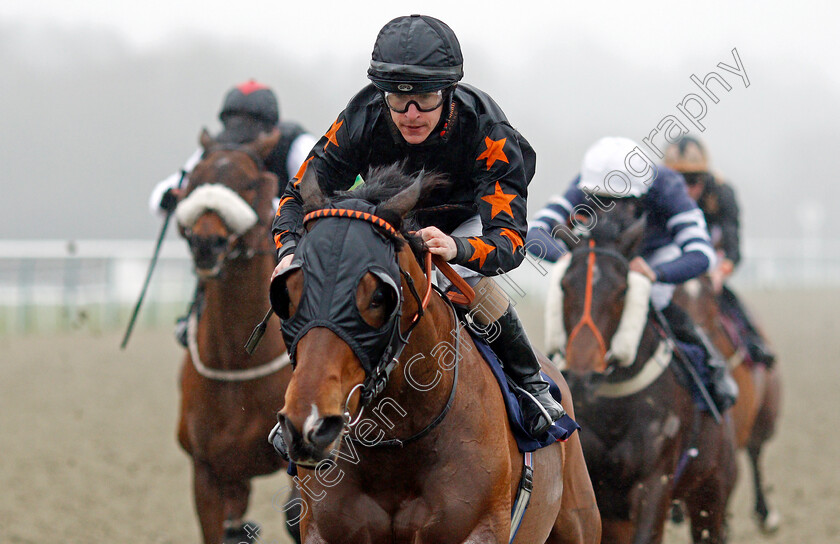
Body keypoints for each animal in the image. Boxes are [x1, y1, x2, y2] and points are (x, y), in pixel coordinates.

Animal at [270, 166, 604, 544]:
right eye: (287, 292)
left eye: (379, 296)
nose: (309, 424)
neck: (396, 444)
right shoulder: (324, 530)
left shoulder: (478, 528)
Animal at [544, 201, 736, 544]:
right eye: (565, 286)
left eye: (622, 291)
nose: (582, 376)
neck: (613, 408)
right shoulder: (598, 491)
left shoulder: (655, 480)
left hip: (711, 492)